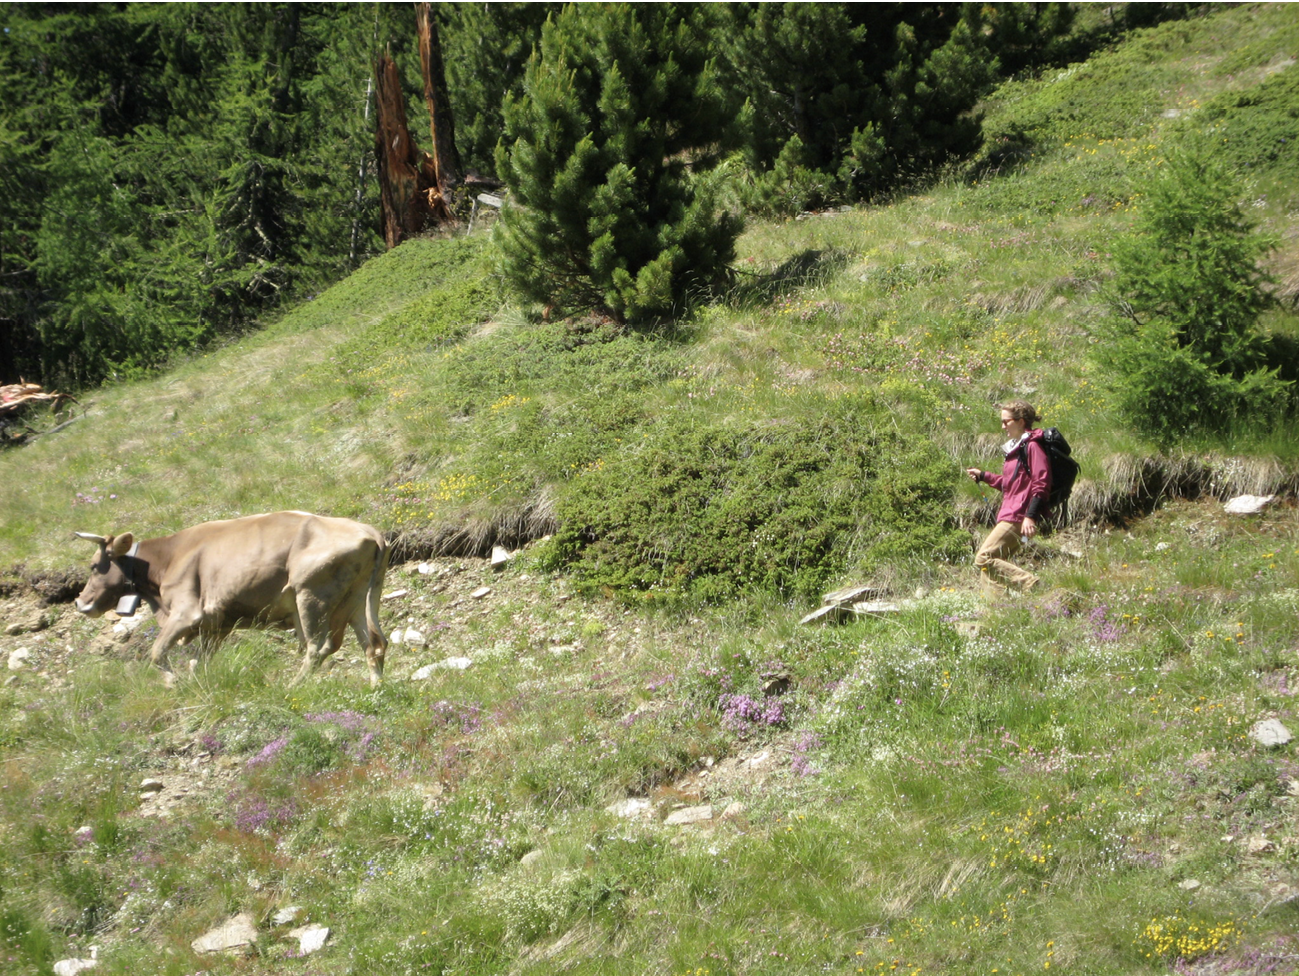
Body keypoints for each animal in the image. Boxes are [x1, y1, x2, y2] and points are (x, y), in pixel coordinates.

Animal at [73, 511, 389, 687]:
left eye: (94, 566)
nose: (79, 602)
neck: (167, 560)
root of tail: (369, 531)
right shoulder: (217, 626)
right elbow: (198, 663)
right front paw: (195, 685)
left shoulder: (186, 613)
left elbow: (157, 652)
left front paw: (173, 683)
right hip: (358, 598)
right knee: (372, 642)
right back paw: (376, 685)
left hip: (311, 596)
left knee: (318, 646)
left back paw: (293, 685)